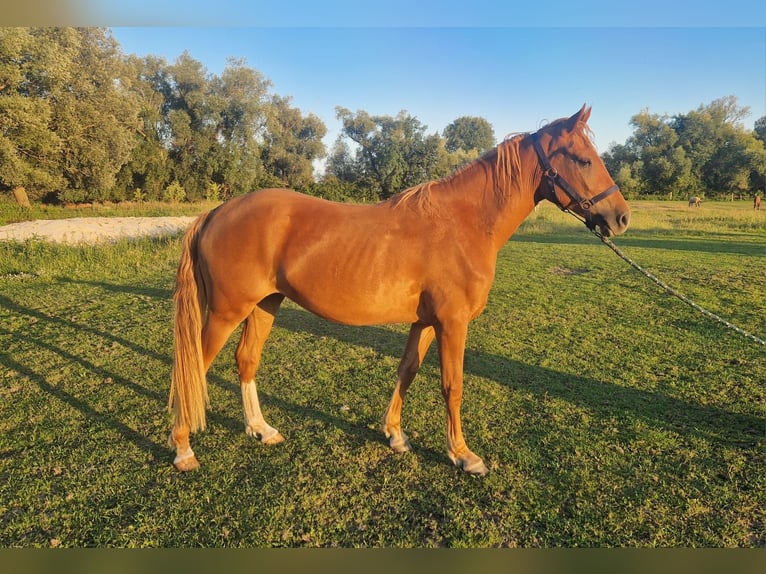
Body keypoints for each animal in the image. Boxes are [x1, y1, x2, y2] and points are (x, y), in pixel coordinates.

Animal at [168, 107, 632, 476]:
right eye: (584, 160)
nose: (621, 217)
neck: (462, 223)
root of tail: (214, 214)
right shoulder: (452, 323)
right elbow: (452, 385)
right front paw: (463, 454)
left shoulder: (425, 322)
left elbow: (407, 370)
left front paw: (394, 434)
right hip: (227, 312)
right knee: (191, 368)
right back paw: (183, 449)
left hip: (265, 304)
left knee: (245, 361)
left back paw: (260, 429)